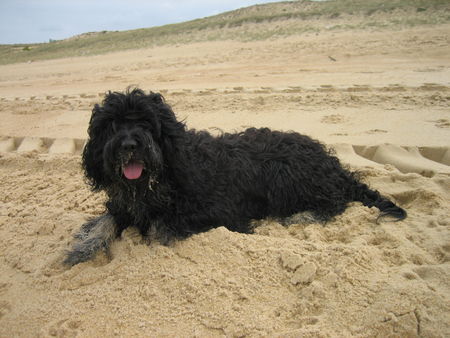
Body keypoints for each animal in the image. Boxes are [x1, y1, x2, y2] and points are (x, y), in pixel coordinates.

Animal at [64, 88, 408, 266]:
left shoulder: (215, 211)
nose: (129, 145)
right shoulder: (123, 205)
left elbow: (161, 227)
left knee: (335, 201)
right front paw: (82, 248)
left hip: (287, 174)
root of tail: (332, 164)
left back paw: (301, 216)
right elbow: (105, 222)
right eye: (111, 125)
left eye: (147, 123)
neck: (157, 179)